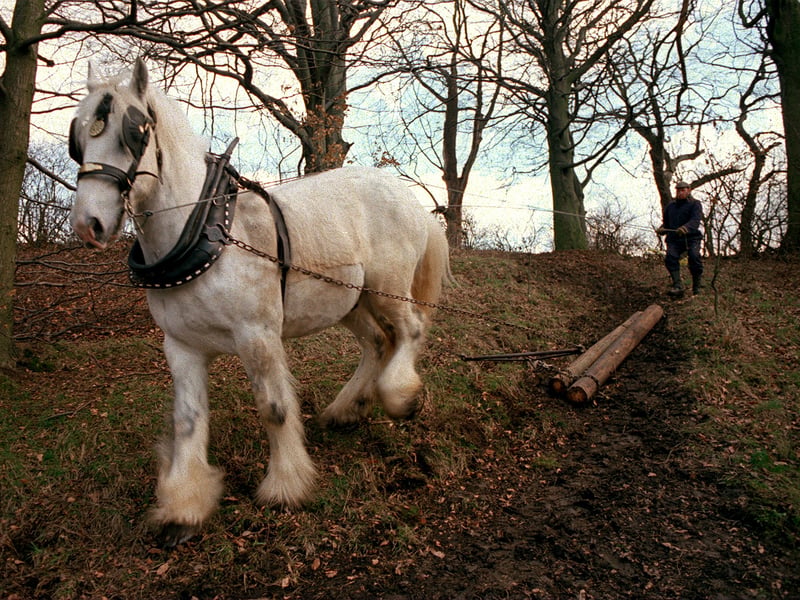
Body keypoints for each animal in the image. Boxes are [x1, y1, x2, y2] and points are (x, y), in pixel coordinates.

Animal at [68, 58, 451, 546]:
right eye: (79, 138)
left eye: (133, 132)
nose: (88, 223)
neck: (206, 231)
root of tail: (408, 196)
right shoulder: (181, 346)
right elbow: (187, 421)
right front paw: (183, 506)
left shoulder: (257, 335)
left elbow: (274, 408)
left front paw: (285, 486)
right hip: (350, 302)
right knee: (378, 343)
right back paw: (345, 410)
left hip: (389, 287)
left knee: (410, 330)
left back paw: (401, 396)